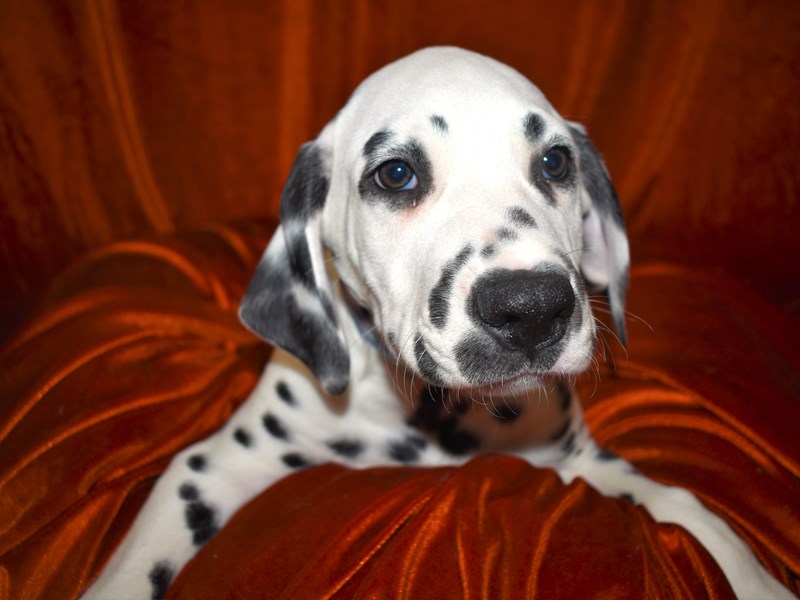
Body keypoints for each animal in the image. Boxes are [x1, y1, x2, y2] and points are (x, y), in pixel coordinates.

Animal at [83, 48, 792, 600]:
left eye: (556, 163)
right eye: (396, 173)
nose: (531, 308)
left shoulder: (579, 459)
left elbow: (690, 510)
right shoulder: (212, 465)